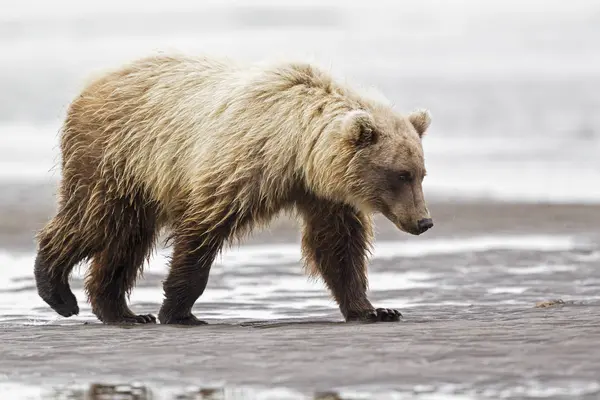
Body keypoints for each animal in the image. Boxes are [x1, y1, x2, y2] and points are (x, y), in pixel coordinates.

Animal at [34, 54, 432, 324]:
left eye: (421, 173)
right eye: (400, 174)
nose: (424, 221)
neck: (297, 150)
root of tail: (92, 83)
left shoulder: (323, 194)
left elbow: (338, 246)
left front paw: (375, 309)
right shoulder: (239, 167)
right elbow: (201, 234)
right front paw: (179, 311)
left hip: (138, 180)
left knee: (126, 240)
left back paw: (121, 311)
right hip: (116, 158)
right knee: (95, 221)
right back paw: (58, 291)